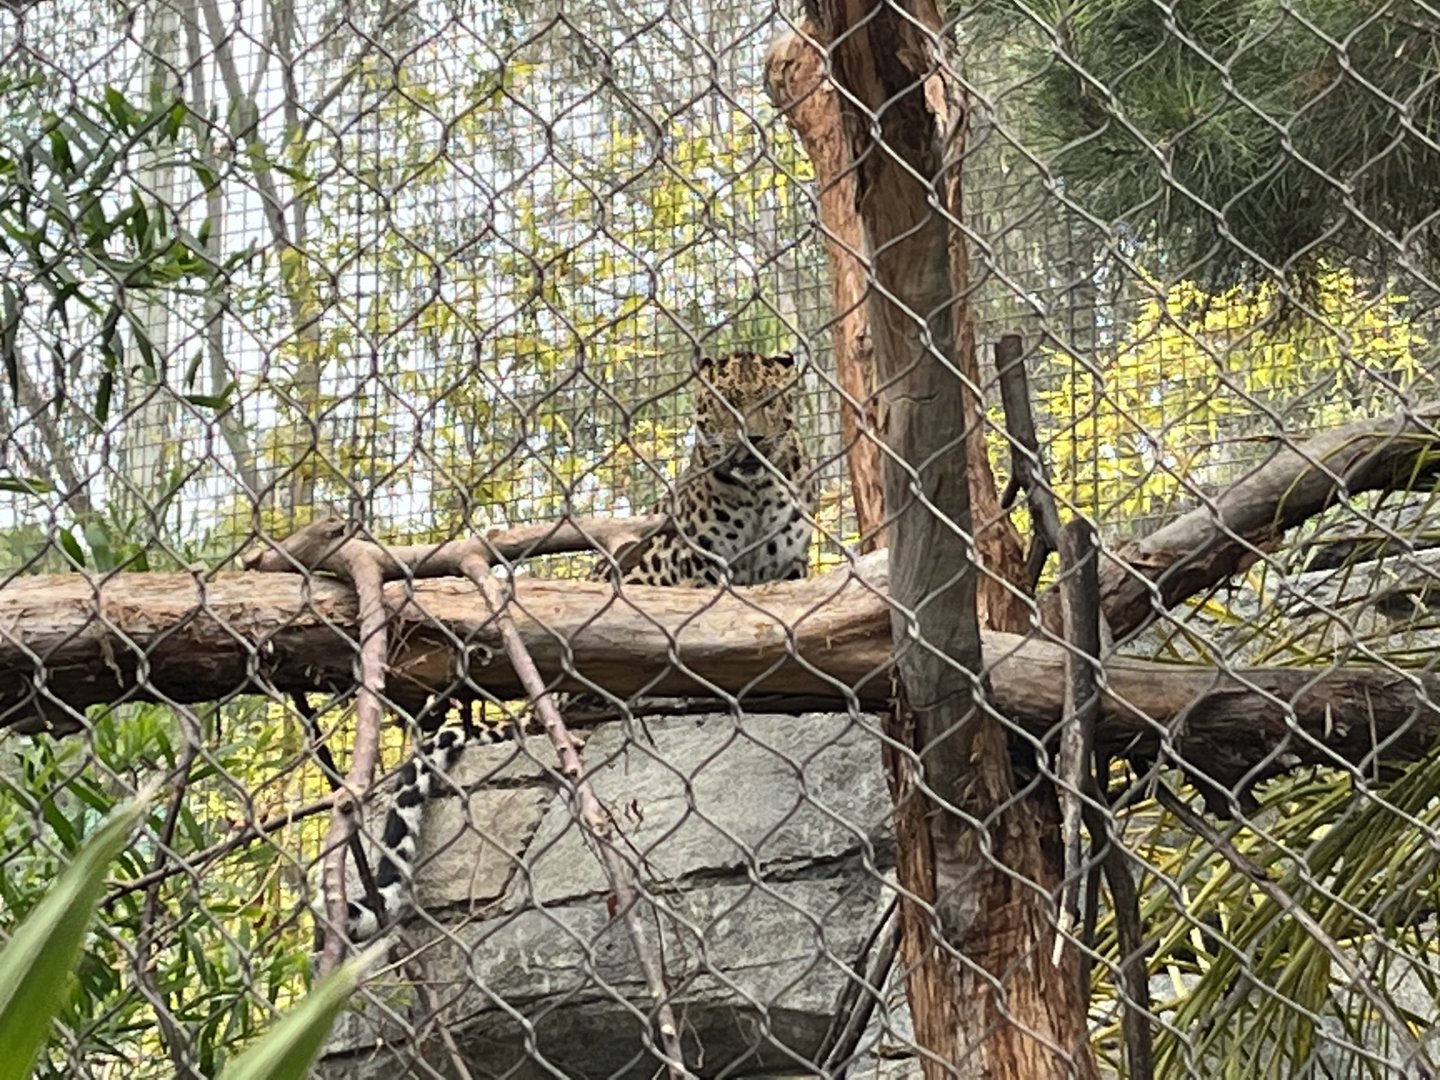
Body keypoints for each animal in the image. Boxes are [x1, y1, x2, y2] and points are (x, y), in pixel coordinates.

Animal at [343, 350, 815, 942]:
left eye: (769, 402)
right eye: (727, 402)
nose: (750, 440)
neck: (754, 491)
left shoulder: (793, 569)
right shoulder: (695, 566)